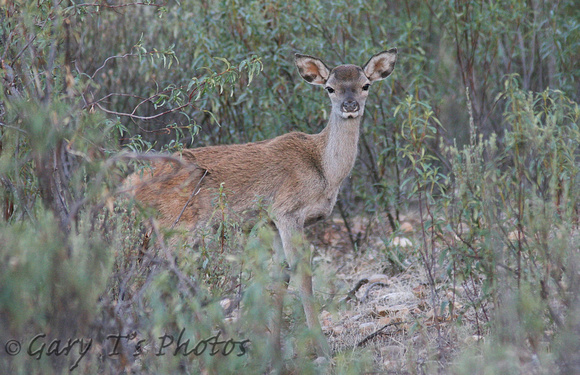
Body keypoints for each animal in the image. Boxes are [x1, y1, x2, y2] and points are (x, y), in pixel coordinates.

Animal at [125, 48, 398, 360]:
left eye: (366, 85)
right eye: (330, 88)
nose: (350, 105)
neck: (325, 172)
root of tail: (129, 184)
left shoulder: (271, 220)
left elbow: (281, 276)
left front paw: (274, 350)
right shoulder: (287, 211)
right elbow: (302, 275)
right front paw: (323, 350)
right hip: (175, 225)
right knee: (148, 287)